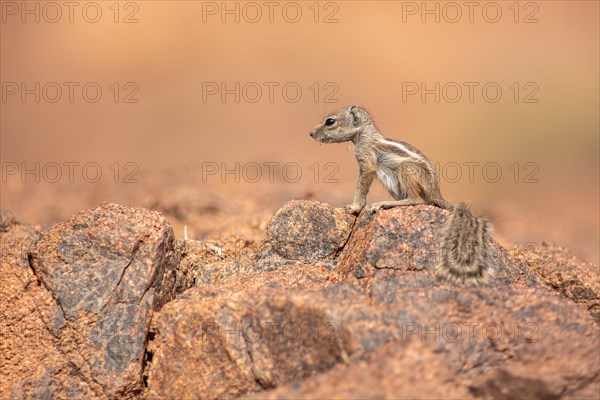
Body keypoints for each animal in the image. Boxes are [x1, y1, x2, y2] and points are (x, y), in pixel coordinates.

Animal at [310, 104, 492, 282]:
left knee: (417, 199)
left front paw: (354, 207)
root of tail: (436, 194)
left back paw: (385, 203)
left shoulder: (366, 161)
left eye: (330, 121)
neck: (364, 134)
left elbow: (362, 186)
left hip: (406, 169)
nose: (310, 133)